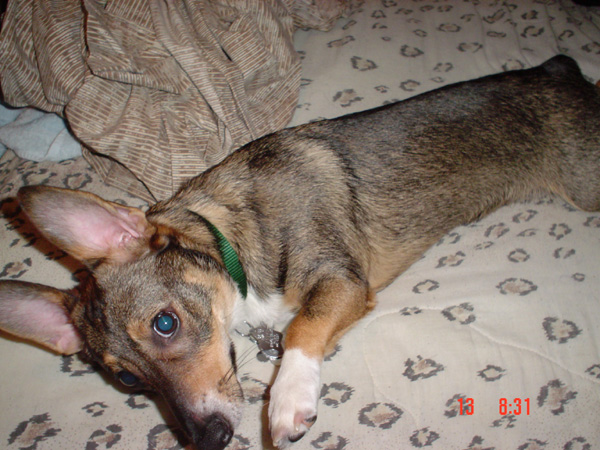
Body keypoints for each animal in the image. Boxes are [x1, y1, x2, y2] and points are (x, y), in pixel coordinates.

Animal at [0, 55, 599, 450]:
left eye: (165, 324)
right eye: (126, 381)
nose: (209, 439)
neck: (235, 245)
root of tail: (558, 69)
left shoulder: (340, 279)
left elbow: (302, 328)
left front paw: (289, 396)